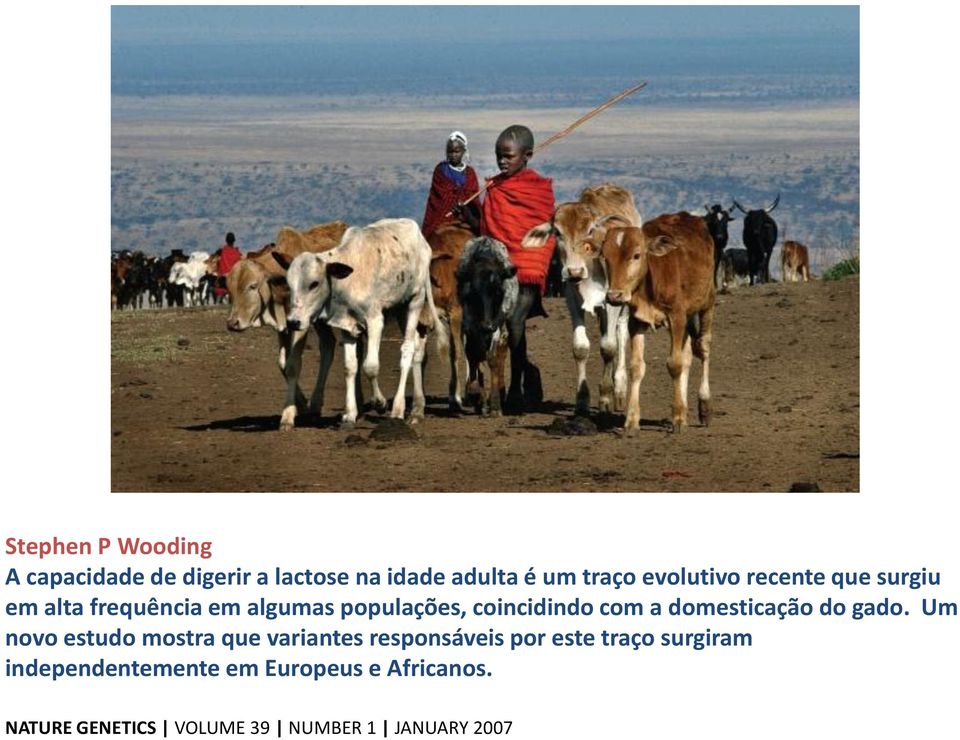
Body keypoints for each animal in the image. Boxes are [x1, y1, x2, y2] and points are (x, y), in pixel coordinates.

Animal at [280, 218, 440, 428]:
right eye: (289, 285)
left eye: (314, 284)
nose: (293, 322)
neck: (349, 278)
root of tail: (422, 240)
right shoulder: (347, 326)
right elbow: (350, 367)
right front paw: (350, 414)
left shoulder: (375, 321)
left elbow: (370, 366)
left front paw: (379, 403)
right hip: (400, 309)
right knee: (418, 349)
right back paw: (417, 408)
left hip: (415, 301)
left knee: (408, 349)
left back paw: (398, 408)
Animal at [520, 183, 640, 416]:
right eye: (557, 232)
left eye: (590, 230)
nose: (574, 271)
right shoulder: (572, 300)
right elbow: (581, 348)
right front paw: (583, 400)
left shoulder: (612, 301)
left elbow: (609, 347)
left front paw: (605, 397)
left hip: (624, 299)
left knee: (621, 333)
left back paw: (619, 388)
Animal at [604, 212, 716, 434]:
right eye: (605, 257)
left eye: (636, 255)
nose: (614, 296)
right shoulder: (636, 322)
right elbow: (636, 367)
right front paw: (631, 420)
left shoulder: (677, 316)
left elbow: (674, 364)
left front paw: (678, 419)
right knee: (688, 355)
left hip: (707, 302)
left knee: (703, 347)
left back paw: (704, 405)